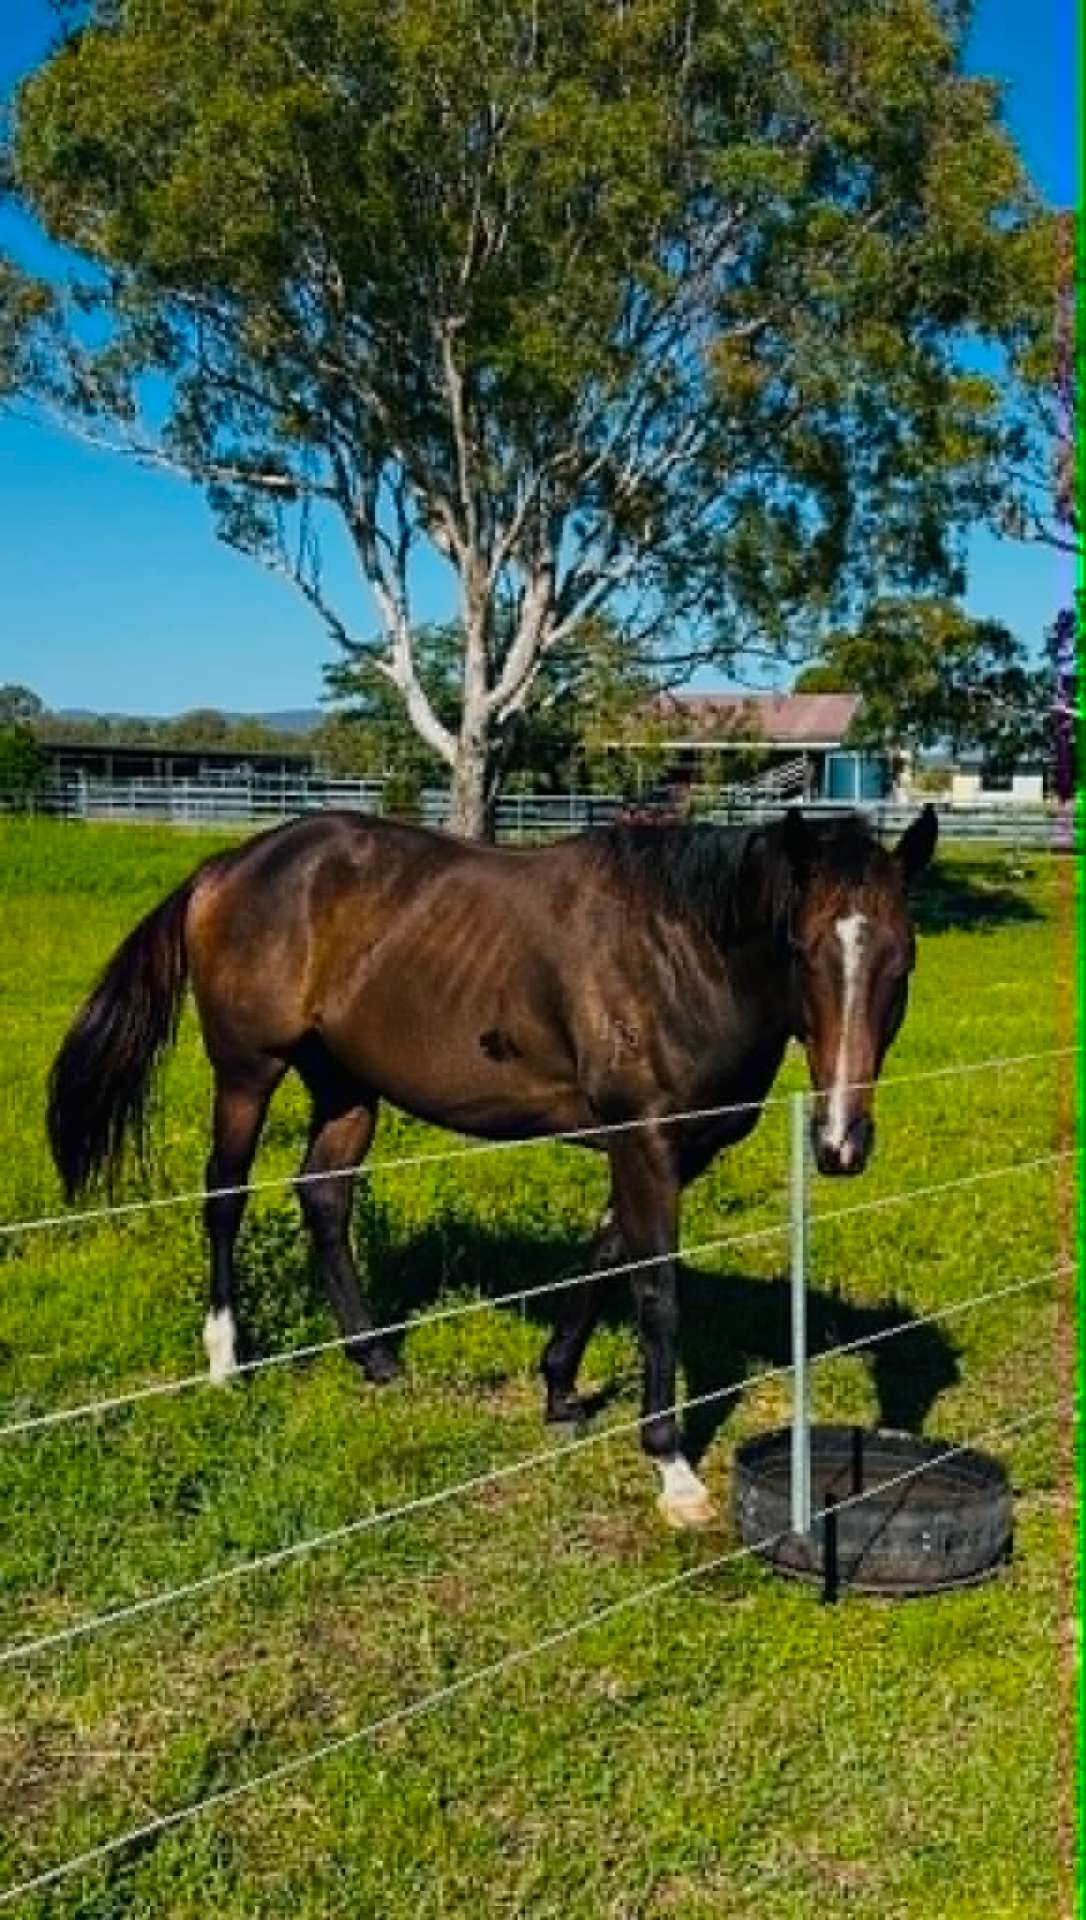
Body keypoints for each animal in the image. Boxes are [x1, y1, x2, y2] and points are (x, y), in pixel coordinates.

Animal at [47, 803, 937, 1528]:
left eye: (902, 962)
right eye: (802, 949)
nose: (840, 1142)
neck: (684, 953)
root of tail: (228, 865)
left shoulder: (666, 1151)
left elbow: (605, 1256)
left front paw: (559, 1389)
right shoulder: (645, 1140)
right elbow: (656, 1289)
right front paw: (672, 1466)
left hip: (347, 1087)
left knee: (325, 1198)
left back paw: (375, 1359)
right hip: (246, 1072)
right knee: (225, 1198)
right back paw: (226, 1359)